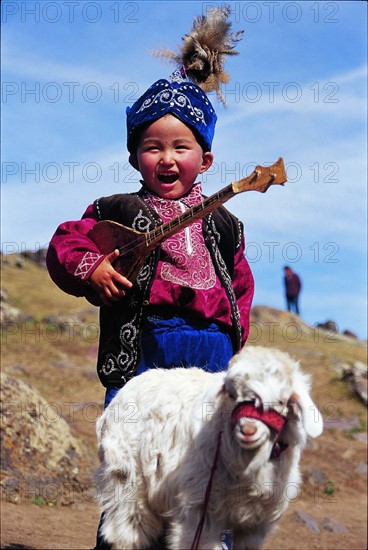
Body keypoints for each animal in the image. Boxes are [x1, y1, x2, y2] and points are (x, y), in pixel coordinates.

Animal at [95, 348, 322, 548]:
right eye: (231, 394)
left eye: (282, 400)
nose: (248, 430)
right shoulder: (200, 511)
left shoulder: (257, 524)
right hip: (127, 479)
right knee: (128, 533)